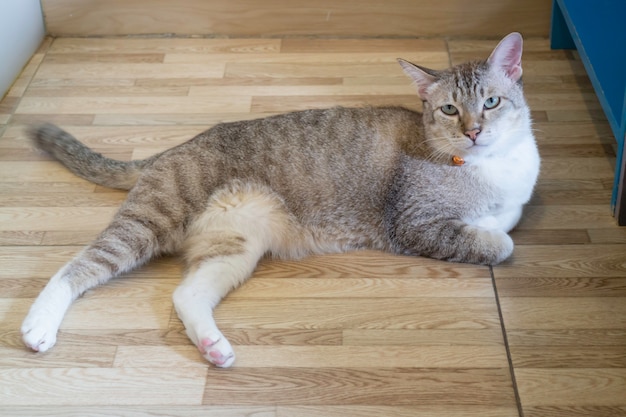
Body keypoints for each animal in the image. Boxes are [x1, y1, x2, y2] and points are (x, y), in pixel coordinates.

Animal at [19, 33, 536, 368]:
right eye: (449, 109)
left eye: (491, 102)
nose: (474, 131)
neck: (491, 165)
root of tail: (173, 149)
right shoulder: (414, 222)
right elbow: (502, 241)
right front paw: (490, 229)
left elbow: (511, 213)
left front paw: (495, 215)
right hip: (152, 220)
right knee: (76, 267)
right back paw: (39, 325)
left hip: (233, 249)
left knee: (185, 295)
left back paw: (213, 347)